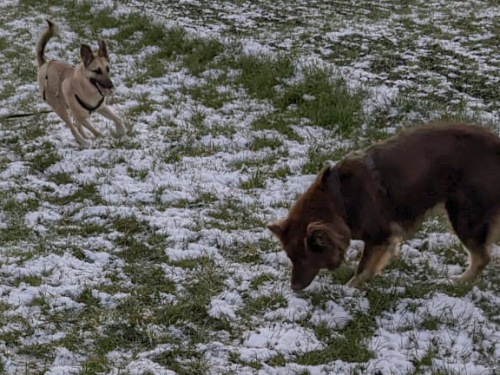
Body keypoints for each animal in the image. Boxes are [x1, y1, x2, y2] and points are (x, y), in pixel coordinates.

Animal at [35, 19, 125, 147]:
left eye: (108, 69)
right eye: (97, 71)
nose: (110, 86)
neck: (86, 89)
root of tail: (44, 64)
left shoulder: (101, 107)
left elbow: (117, 119)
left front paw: (120, 131)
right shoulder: (81, 116)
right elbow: (96, 131)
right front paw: (106, 136)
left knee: (77, 126)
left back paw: (86, 137)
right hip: (60, 109)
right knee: (73, 128)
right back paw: (83, 142)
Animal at [272, 125, 500, 292]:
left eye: (305, 259)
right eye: (291, 258)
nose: (293, 288)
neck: (339, 198)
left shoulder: (381, 236)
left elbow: (363, 267)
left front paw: (350, 290)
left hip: (464, 215)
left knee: (482, 257)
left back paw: (459, 281)